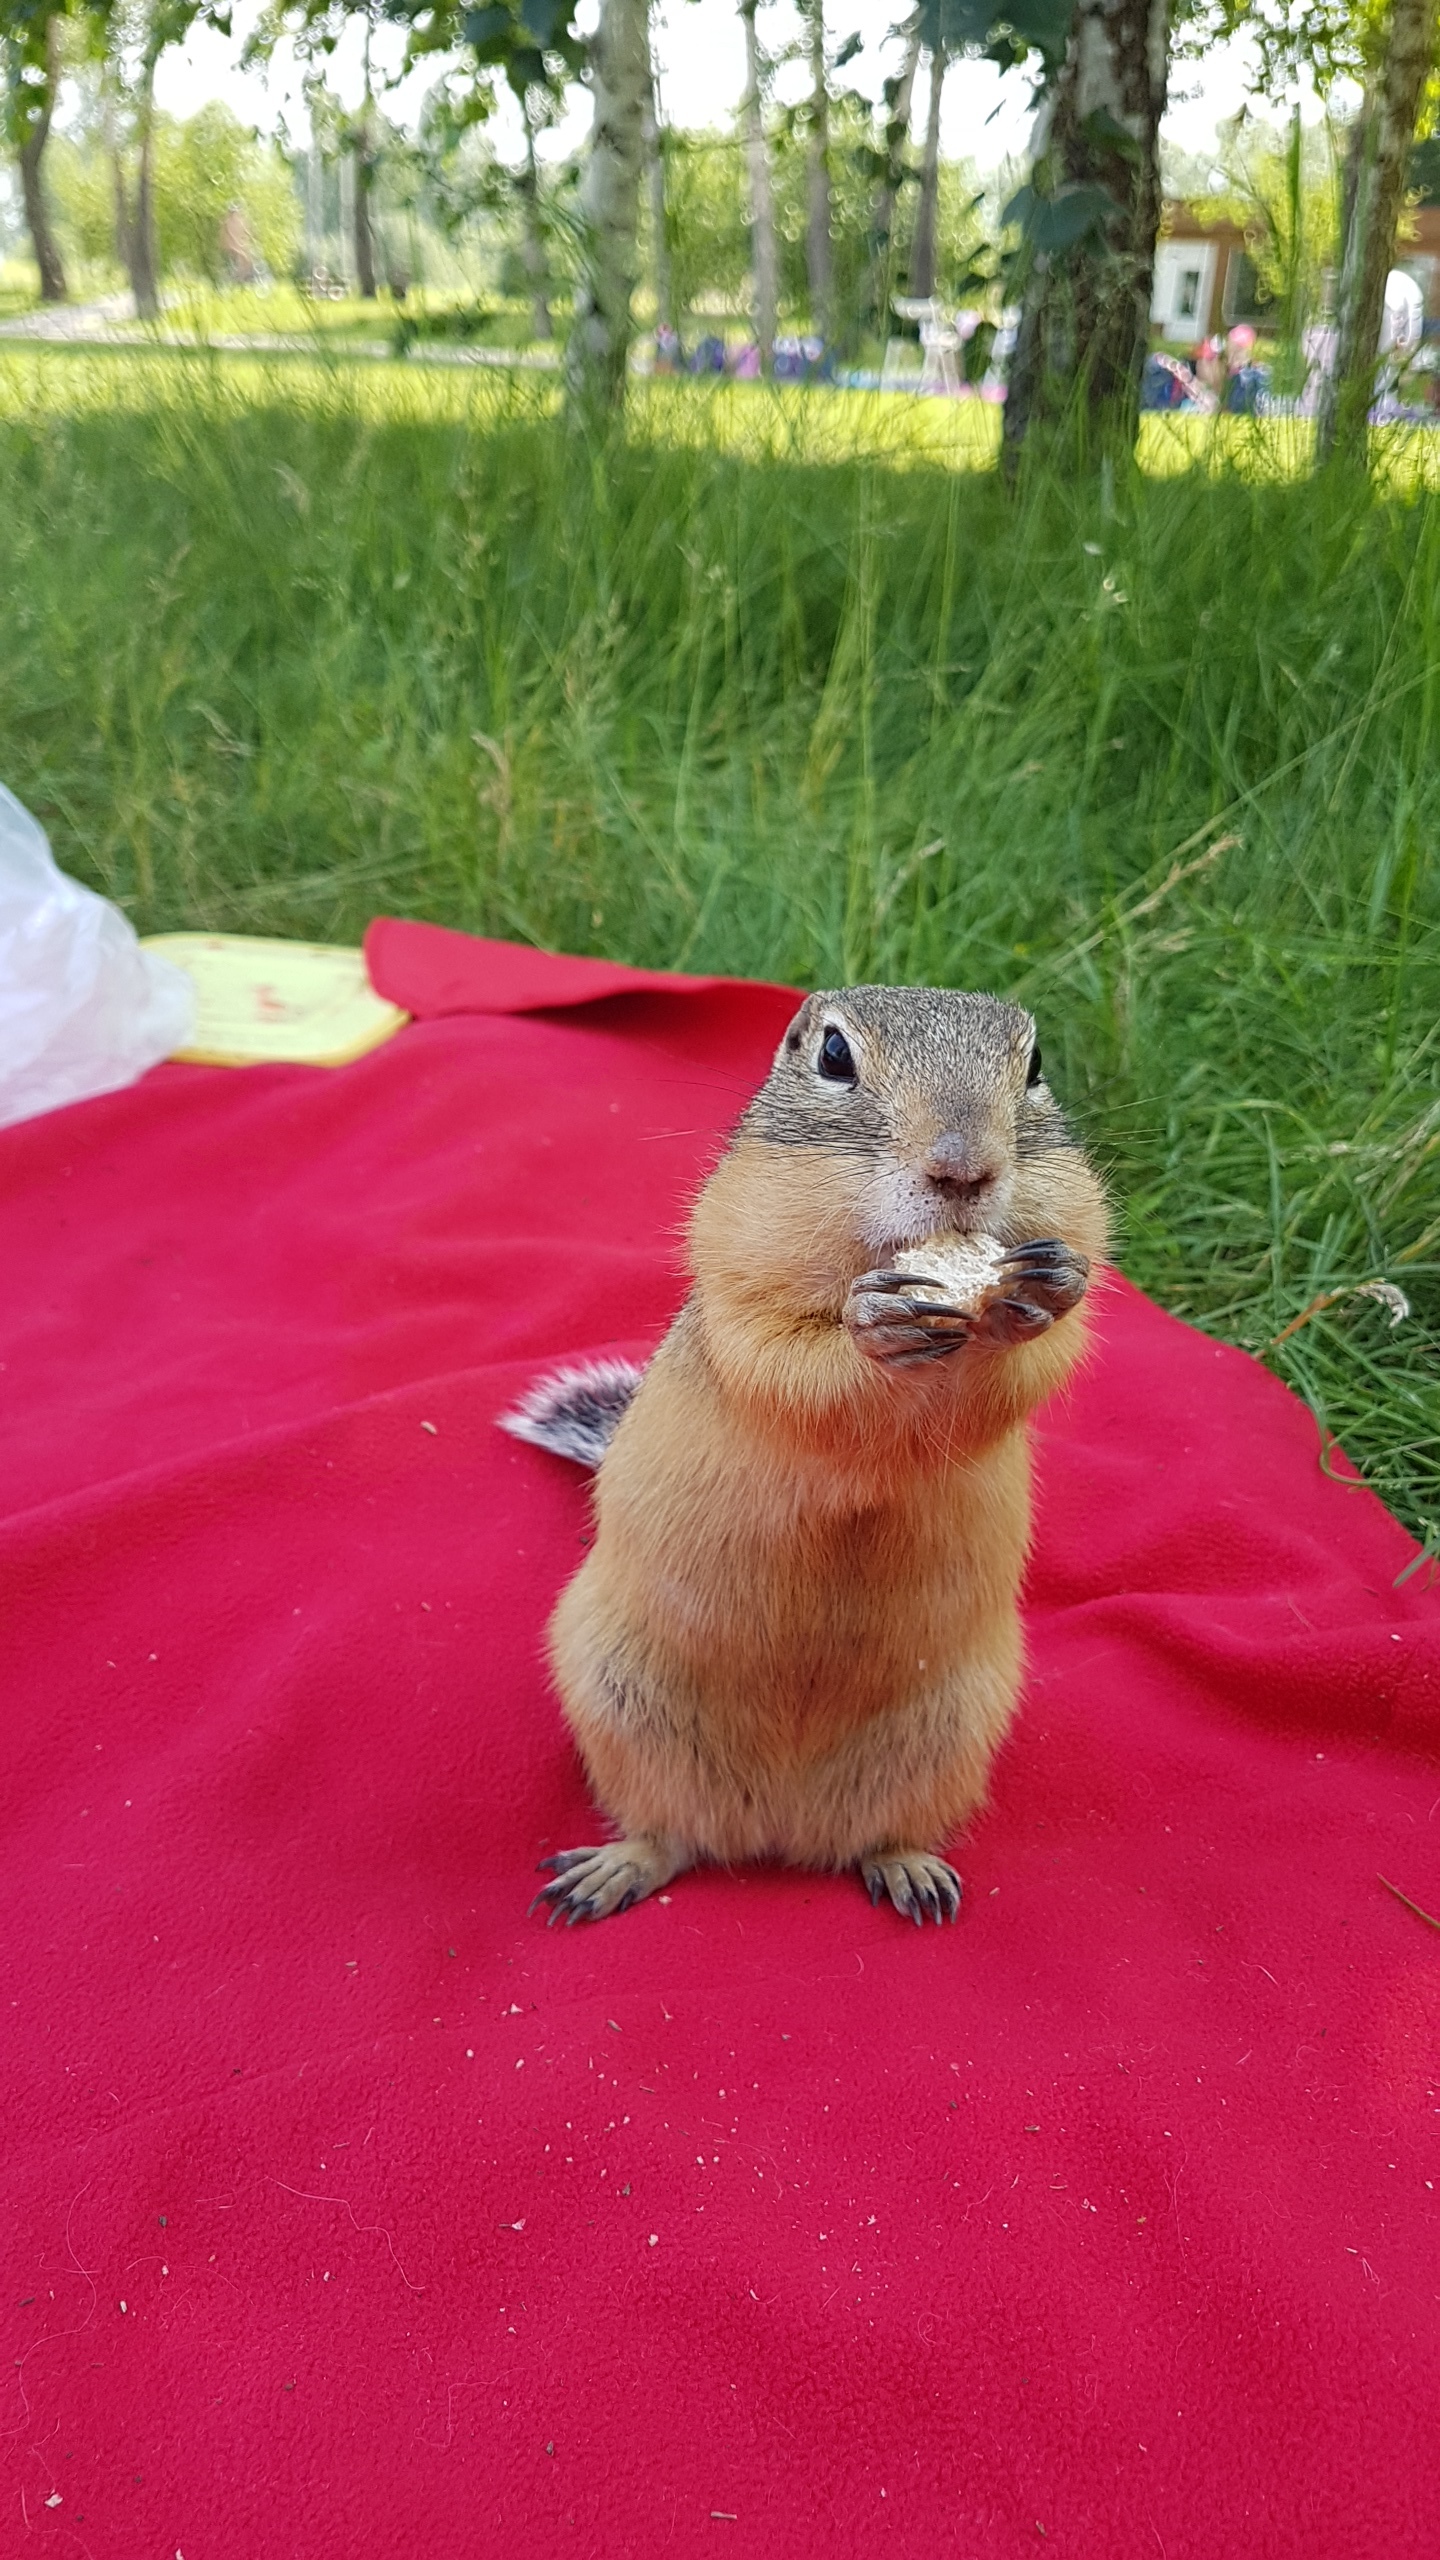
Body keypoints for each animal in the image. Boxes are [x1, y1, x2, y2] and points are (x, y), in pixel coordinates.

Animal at [499, 988, 1101, 1925]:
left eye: (1035, 1066)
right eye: (833, 1056)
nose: (963, 1171)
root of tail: (782, 1827)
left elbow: (1031, 1365)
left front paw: (1046, 1287)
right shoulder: (738, 1276)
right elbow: (786, 1360)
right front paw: (872, 1327)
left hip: (950, 1733)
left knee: (876, 1834)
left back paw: (907, 1866)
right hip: (622, 1706)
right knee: (670, 1832)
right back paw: (616, 1868)